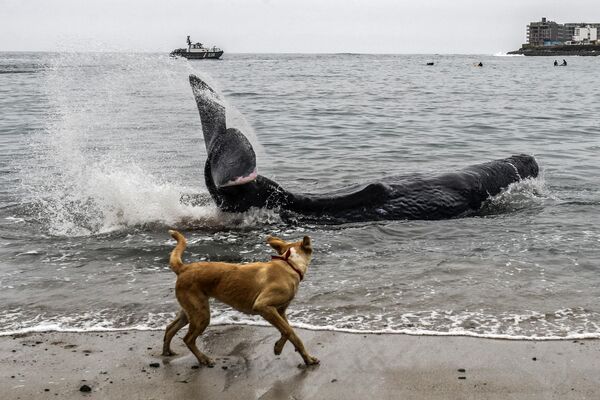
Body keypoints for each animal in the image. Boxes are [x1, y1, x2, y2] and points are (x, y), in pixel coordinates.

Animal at [159, 231, 318, 366]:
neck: (289, 264)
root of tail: (184, 268)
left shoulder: (280, 311)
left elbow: (291, 334)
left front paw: (307, 358)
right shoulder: (263, 306)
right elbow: (288, 331)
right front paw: (278, 348)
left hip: (191, 310)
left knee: (170, 328)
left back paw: (167, 352)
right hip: (201, 314)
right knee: (188, 339)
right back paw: (204, 359)